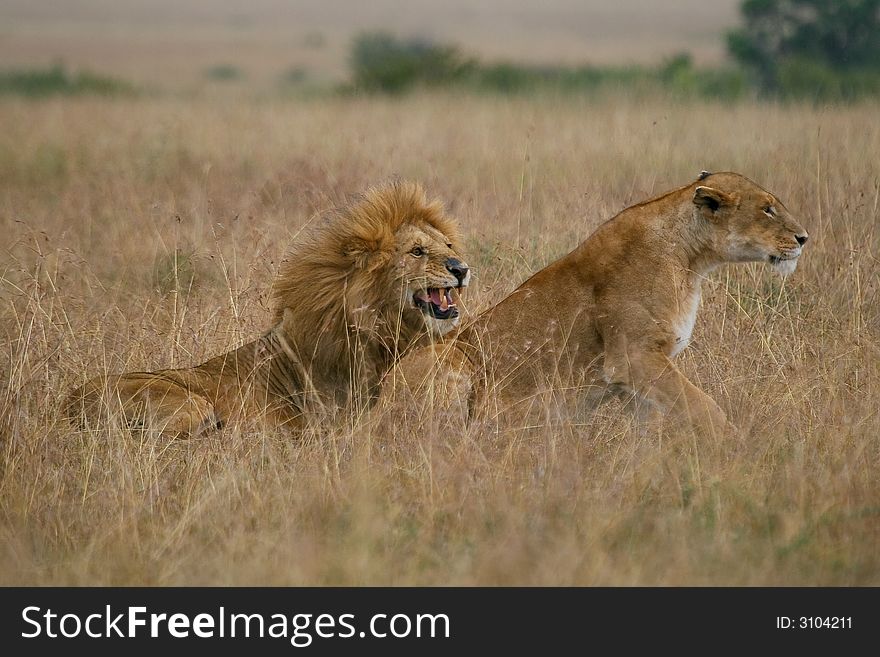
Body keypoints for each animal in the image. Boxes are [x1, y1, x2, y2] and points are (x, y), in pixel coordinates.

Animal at [382, 172, 808, 434]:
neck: (690, 261)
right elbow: (705, 407)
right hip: (451, 359)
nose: (804, 237)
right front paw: (733, 444)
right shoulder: (633, 355)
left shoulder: (645, 373)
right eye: (767, 208)